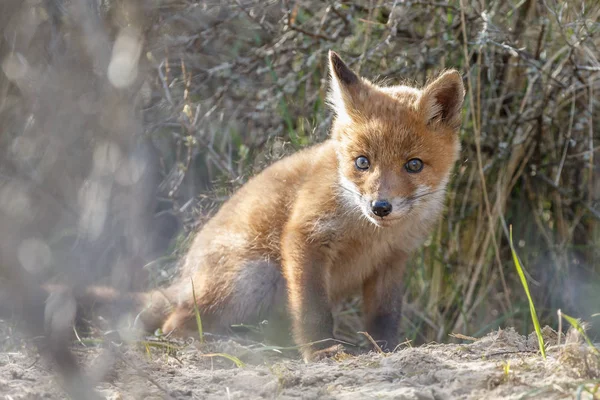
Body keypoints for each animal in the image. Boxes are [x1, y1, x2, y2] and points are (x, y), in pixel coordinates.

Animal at [56, 50, 464, 362]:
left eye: (414, 165)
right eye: (362, 162)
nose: (380, 207)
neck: (370, 235)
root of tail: (187, 272)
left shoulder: (393, 260)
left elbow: (384, 317)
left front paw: (387, 350)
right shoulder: (304, 237)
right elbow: (314, 311)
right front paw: (319, 352)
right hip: (256, 276)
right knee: (175, 324)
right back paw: (228, 345)